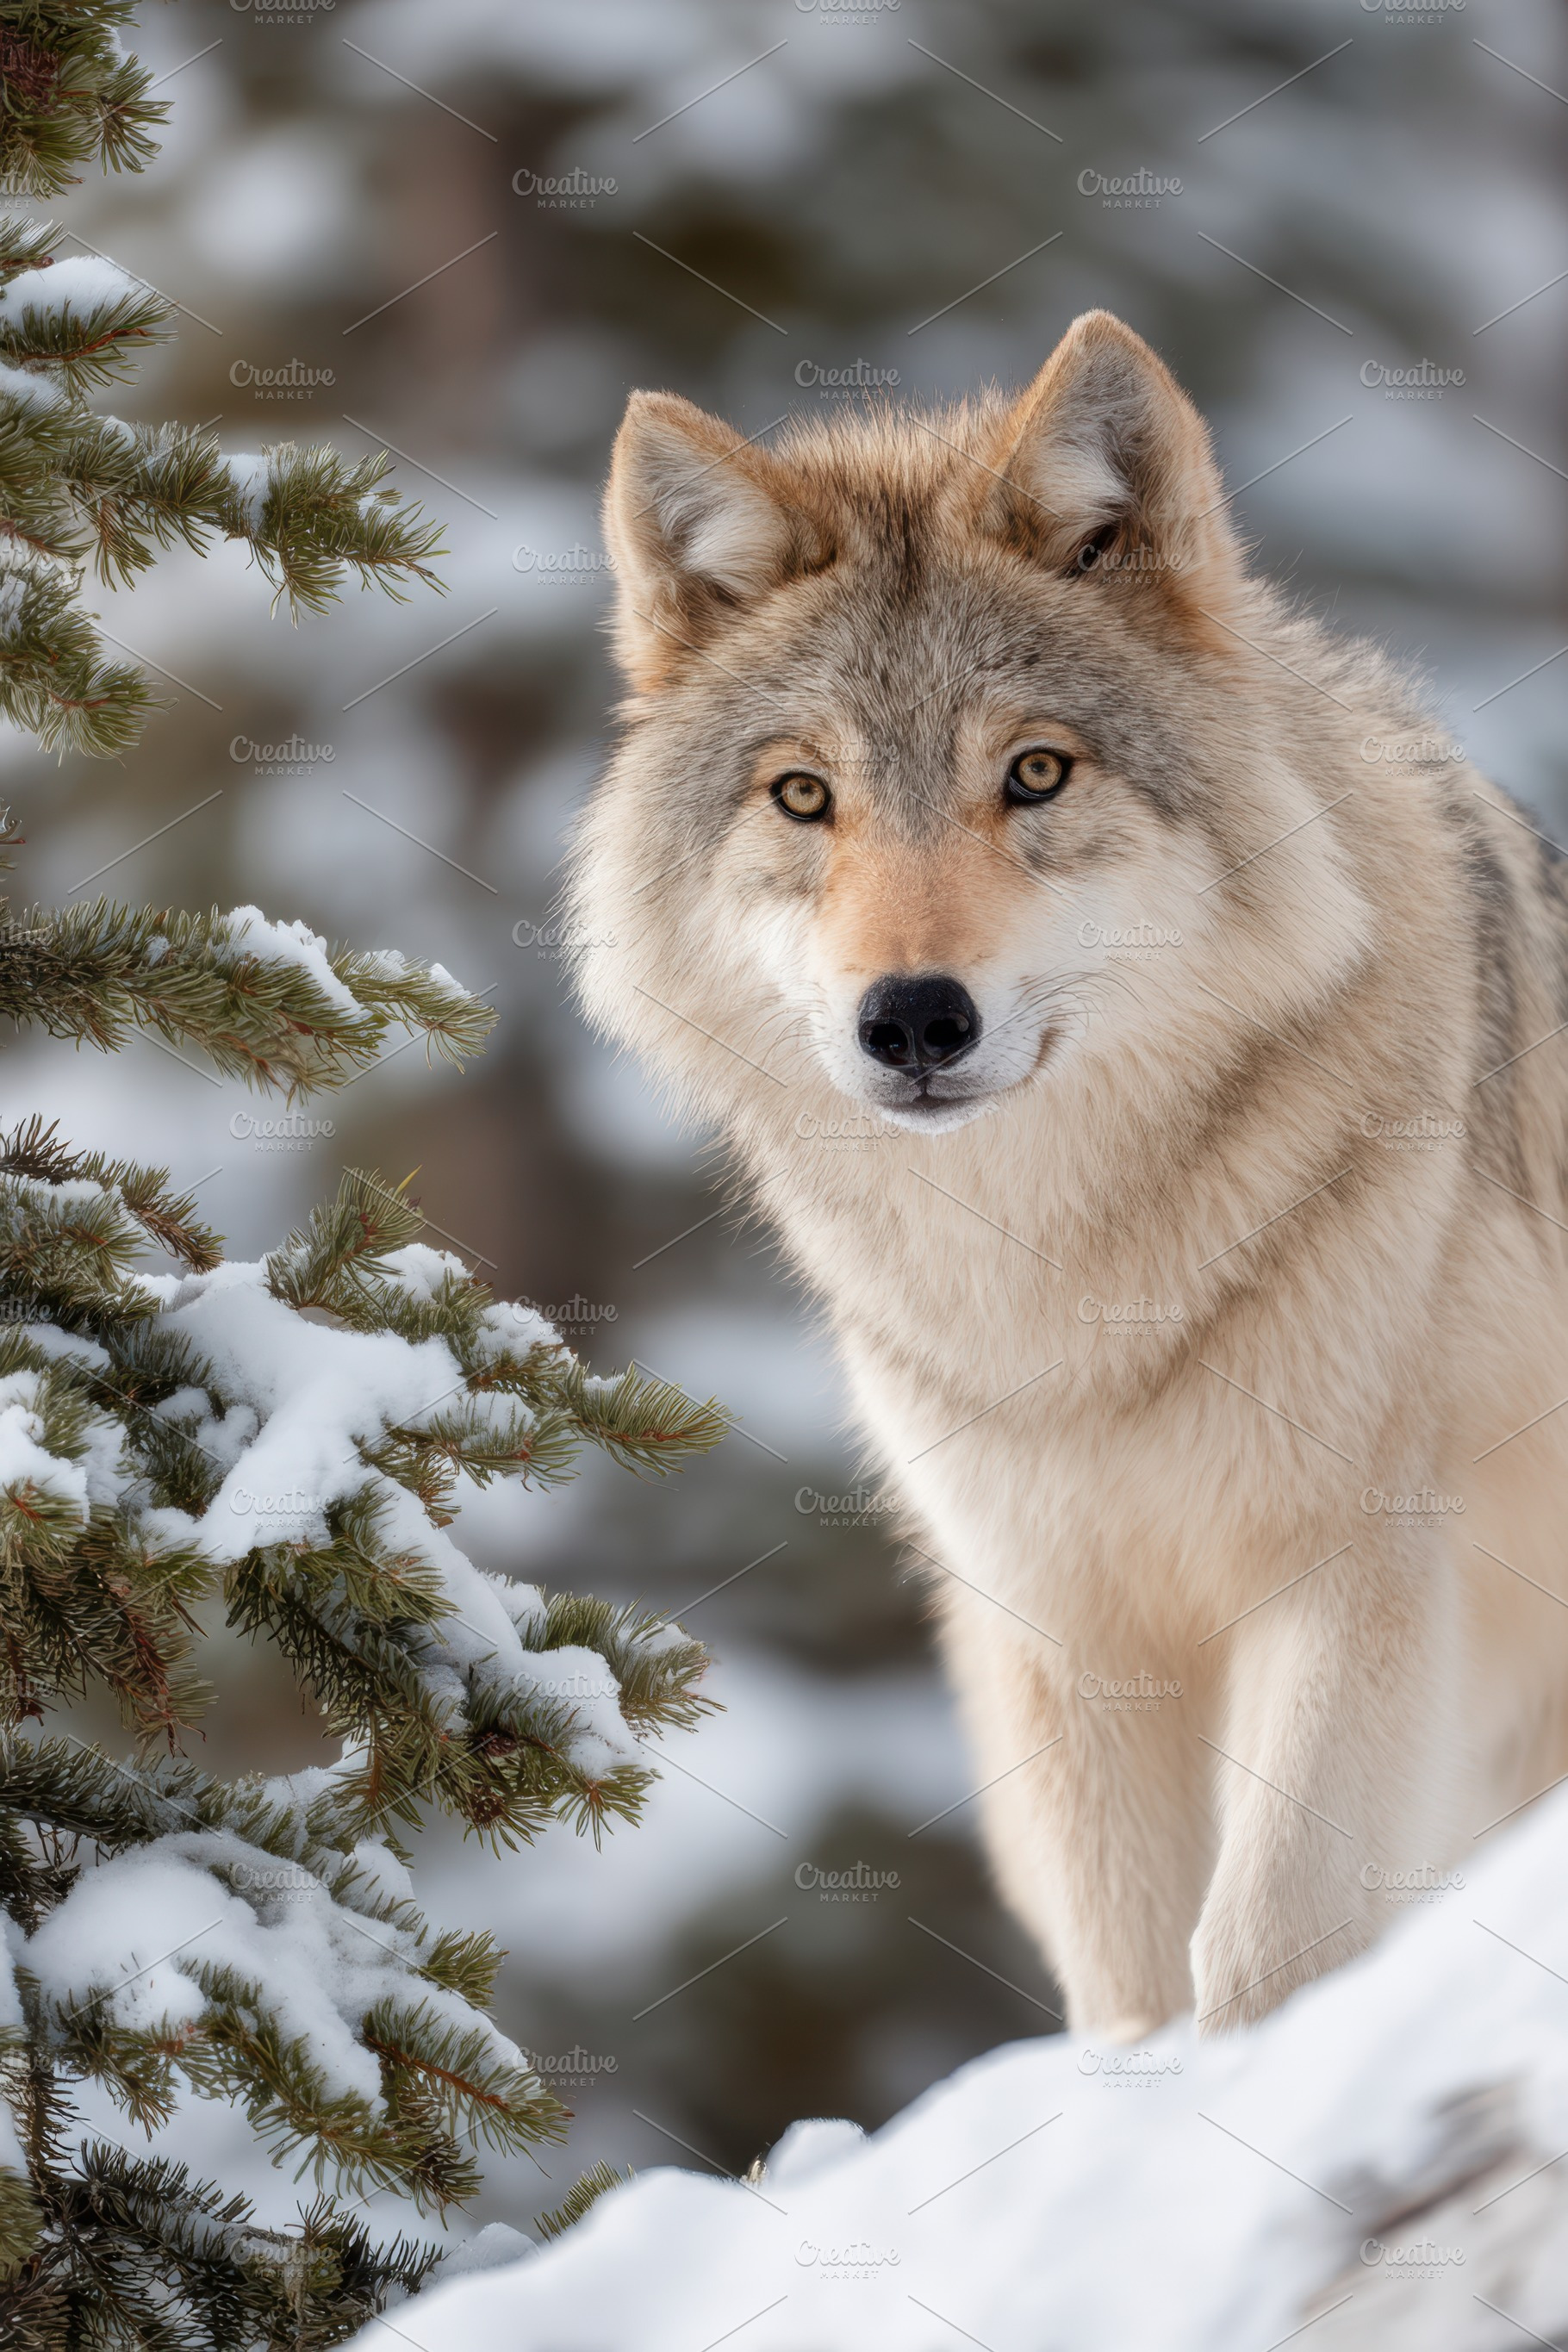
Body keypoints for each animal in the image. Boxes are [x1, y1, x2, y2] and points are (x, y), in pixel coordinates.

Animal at [568, 311, 1568, 2037]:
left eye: (1035, 775)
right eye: (804, 795)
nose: (911, 1018)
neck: (1066, 1280)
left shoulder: (1356, 1567)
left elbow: (1264, 1948)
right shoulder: (1064, 1631)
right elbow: (1132, 1981)